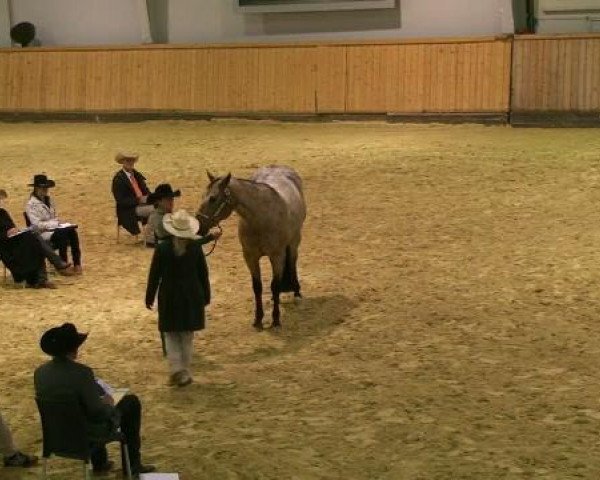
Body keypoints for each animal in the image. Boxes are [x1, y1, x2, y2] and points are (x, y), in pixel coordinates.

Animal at [199, 166, 308, 330]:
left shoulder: (277, 256)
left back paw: (296, 293)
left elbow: (275, 286)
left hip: (294, 241)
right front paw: (258, 319)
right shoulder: (250, 257)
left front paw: (276, 319)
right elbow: (257, 287)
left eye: (213, 198)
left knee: (293, 262)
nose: (198, 225)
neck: (261, 219)